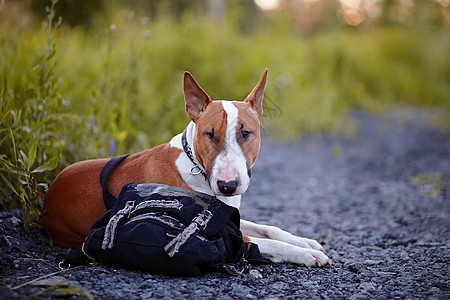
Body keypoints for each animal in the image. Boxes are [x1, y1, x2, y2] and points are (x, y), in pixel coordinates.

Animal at [42, 69, 330, 268]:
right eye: (209, 134)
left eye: (246, 133)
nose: (228, 186)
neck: (196, 166)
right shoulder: (232, 234)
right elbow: (270, 243)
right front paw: (307, 254)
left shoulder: (231, 217)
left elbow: (270, 229)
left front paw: (306, 242)